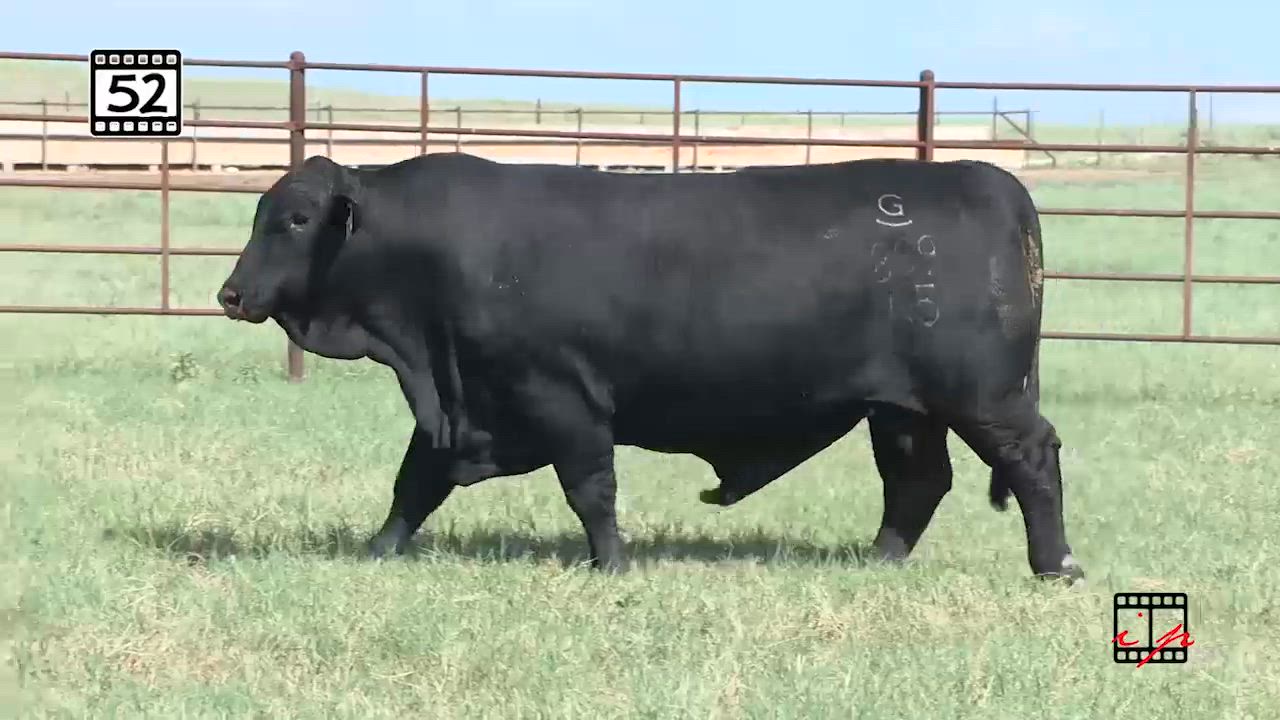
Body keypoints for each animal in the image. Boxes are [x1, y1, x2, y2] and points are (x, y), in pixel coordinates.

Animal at [217, 152, 1084, 584]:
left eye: (295, 218)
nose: (230, 292)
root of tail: (990, 180)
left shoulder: (561, 394)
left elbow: (590, 490)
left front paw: (611, 566)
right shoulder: (463, 403)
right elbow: (415, 485)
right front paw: (379, 550)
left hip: (984, 395)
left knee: (1033, 459)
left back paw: (1057, 567)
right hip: (903, 409)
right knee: (917, 480)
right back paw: (879, 562)